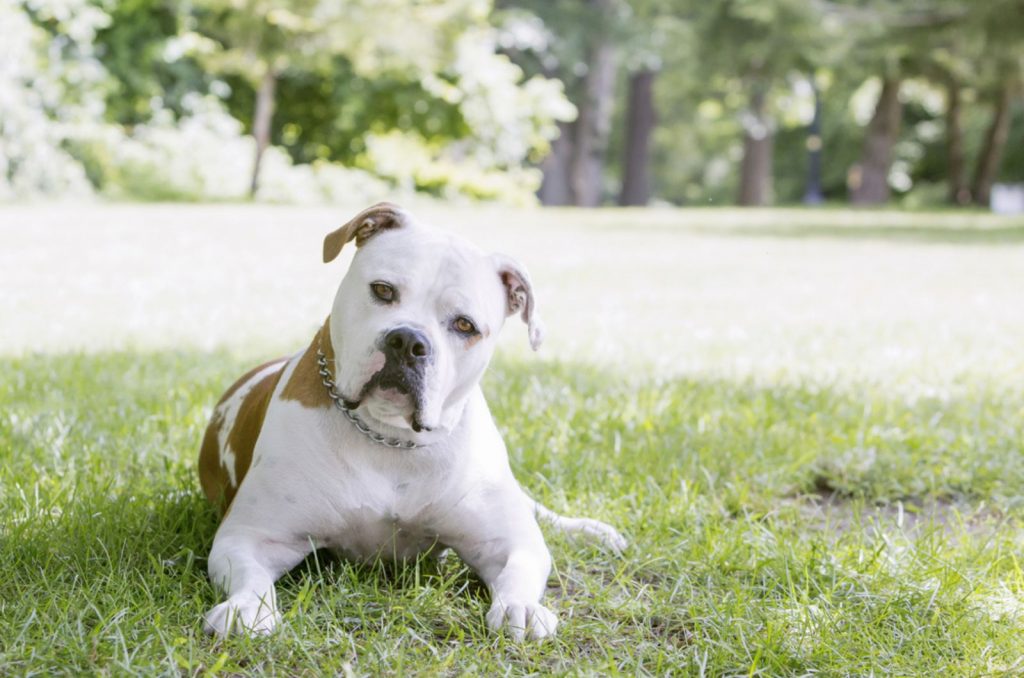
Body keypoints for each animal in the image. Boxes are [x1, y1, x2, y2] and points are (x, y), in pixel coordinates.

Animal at [194, 202, 618, 643]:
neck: (390, 438)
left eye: (465, 325)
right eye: (383, 290)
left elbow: (520, 567)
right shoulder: (250, 536)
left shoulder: (506, 541)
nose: (408, 341)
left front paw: (523, 608)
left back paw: (590, 530)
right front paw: (245, 608)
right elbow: (251, 575)